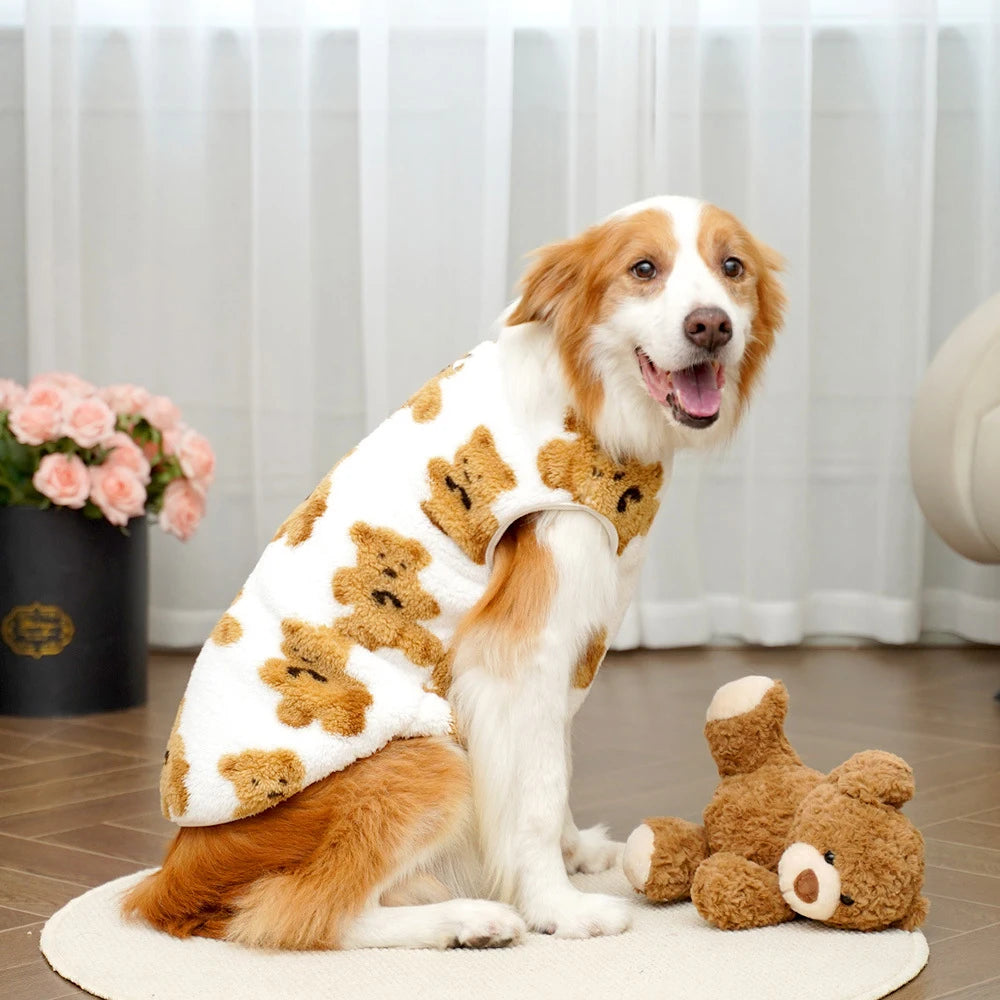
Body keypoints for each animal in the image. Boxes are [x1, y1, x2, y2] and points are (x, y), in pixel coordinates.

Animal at [333, 522, 445, 670]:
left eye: (403, 565)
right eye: (381, 555)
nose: (390, 571)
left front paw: (433, 606)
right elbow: (348, 583)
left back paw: (426, 651)